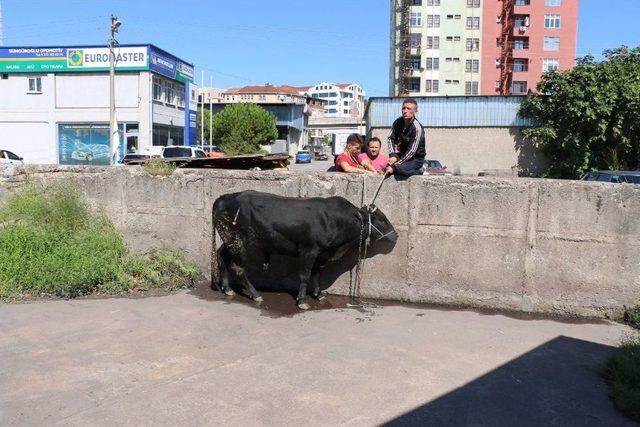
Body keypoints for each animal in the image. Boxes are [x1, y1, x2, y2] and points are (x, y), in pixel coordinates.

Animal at [212, 192, 398, 310]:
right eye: (381, 219)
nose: (396, 235)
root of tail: (223, 198)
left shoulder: (322, 254)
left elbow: (317, 273)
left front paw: (318, 293)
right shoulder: (309, 251)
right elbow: (305, 275)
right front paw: (302, 300)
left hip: (229, 241)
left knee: (221, 257)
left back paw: (227, 288)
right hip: (239, 242)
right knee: (239, 268)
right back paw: (255, 294)